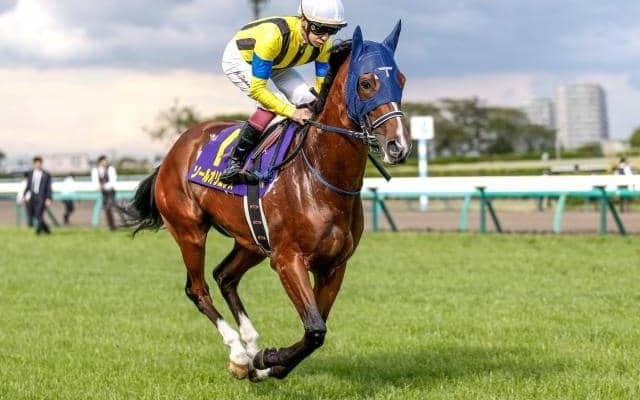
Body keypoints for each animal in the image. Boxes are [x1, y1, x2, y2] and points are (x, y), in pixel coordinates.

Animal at [128, 21, 411, 381]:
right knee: (198, 289)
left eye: (400, 79)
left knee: (225, 276)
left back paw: (250, 345)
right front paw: (267, 360)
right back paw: (238, 352)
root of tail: (172, 153)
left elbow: (315, 329)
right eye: (366, 82)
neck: (319, 175)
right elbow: (315, 330)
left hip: (251, 240)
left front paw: (266, 363)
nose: (398, 145)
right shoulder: (288, 259)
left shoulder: (334, 265)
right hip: (189, 231)